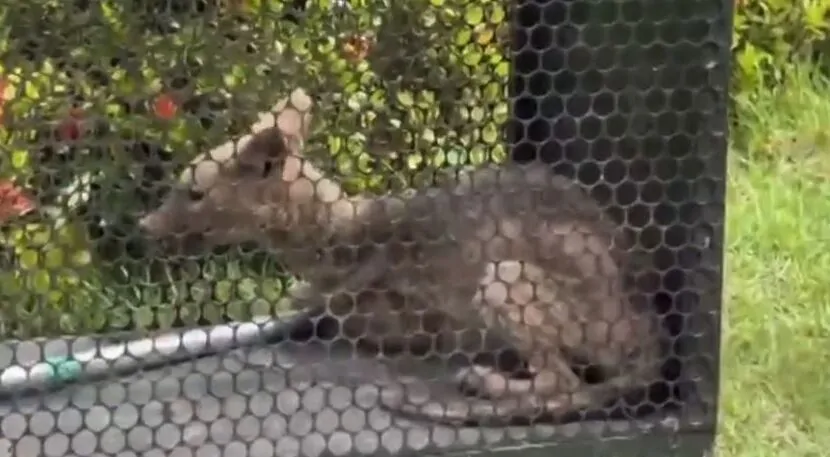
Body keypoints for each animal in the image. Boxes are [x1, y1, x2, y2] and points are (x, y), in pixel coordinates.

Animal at [138, 88, 661, 426]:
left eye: (194, 192)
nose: (144, 226)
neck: (334, 241)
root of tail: (657, 336)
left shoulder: (411, 325)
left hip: (503, 276)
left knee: (562, 384)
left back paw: (485, 380)